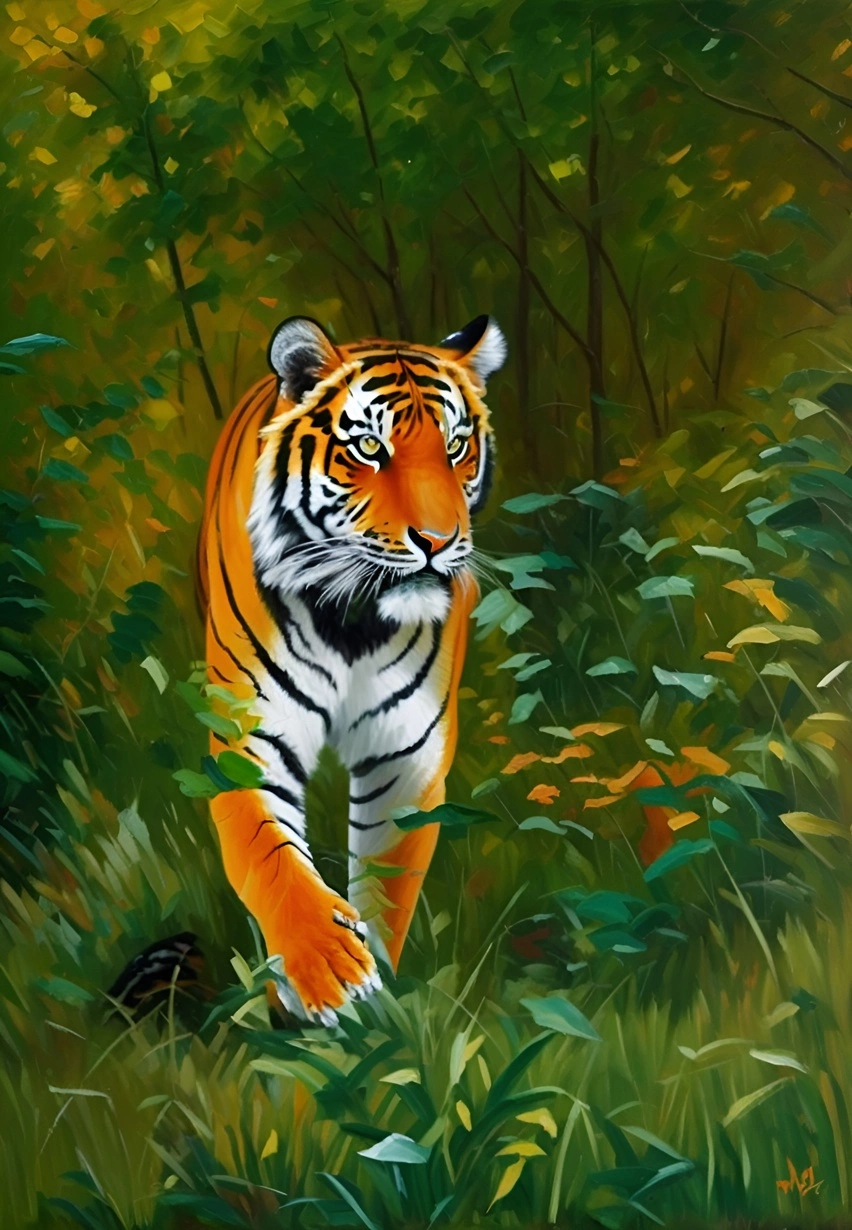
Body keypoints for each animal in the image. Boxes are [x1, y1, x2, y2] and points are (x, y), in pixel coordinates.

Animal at [196, 313, 506, 1024]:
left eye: (456, 447)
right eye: (368, 446)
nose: (438, 541)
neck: (353, 623)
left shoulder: (407, 755)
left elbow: (388, 886)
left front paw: (376, 1001)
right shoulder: (251, 739)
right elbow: (272, 862)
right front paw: (326, 968)